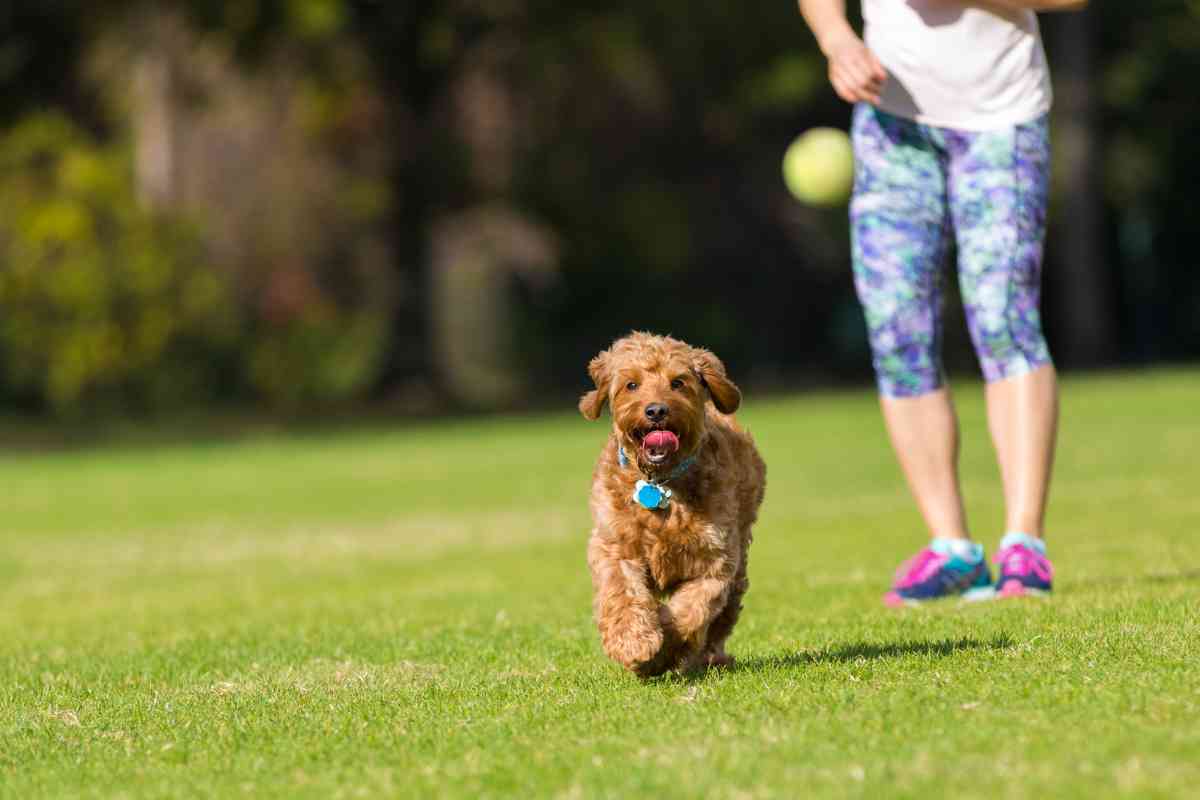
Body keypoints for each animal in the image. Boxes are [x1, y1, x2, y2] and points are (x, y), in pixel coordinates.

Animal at [580, 331, 768, 676]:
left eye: (678, 382)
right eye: (631, 384)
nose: (656, 411)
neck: (659, 484)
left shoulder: (714, 561)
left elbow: (689, 612)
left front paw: (663, 650)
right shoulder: (614, 545)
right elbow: (622, 591)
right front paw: (634, 642)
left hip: (738, 568)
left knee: (721, 620)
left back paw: (711, 657)